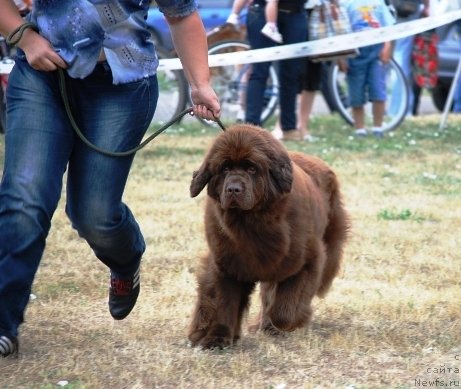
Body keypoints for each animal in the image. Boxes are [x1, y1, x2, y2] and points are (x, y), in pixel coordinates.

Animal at [187, 124, 348, 348]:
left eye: (252, 168)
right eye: (225, 168)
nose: (233, 189)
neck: (251, 224)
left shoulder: (306, 262)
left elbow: (284, 312)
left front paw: (291, 322)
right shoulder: (225, 264)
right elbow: (223, 301)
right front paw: (217, 338)